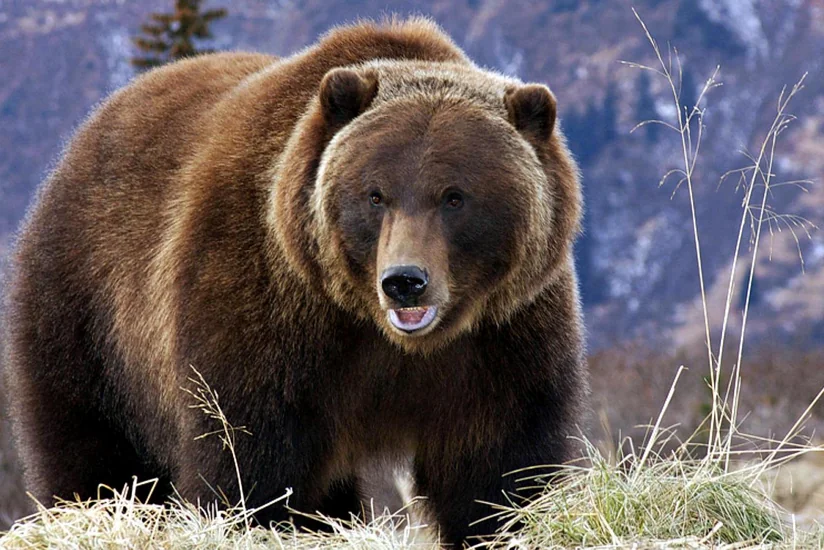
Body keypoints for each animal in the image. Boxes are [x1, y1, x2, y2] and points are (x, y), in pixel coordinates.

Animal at [3, 17, 588, 545]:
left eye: (454, 196)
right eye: (375, 194)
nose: (404, 282)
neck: (387, 338)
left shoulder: (501, 340)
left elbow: (499, 468)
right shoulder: (267, 314)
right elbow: (249, 462)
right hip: (87, 313)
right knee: (91, 451)